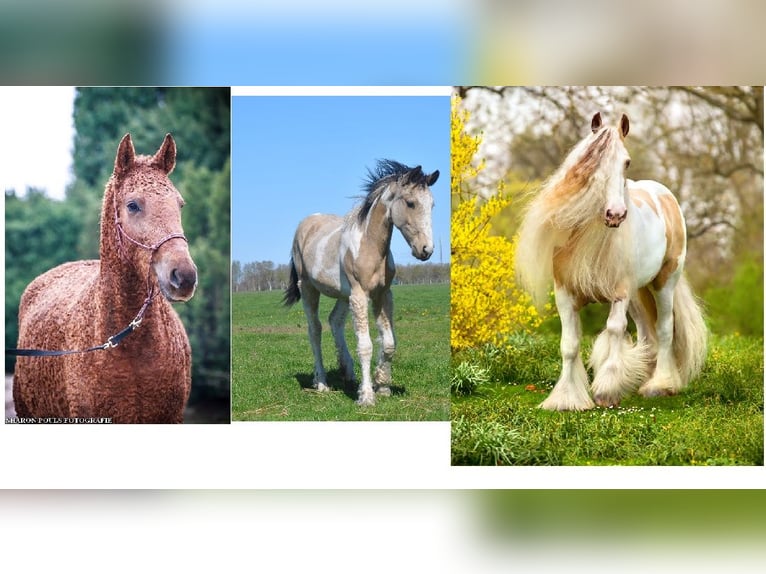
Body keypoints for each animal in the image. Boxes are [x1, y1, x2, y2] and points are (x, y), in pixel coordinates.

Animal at [283, 159, 439, 406]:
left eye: (432, 205)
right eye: (411, 203)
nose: (426, 250)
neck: (370, 245)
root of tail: (306, 223)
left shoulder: (383, 295)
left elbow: (389, 343)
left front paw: (382, 385)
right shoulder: (359, 295)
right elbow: (365, 346)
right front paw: (366, 396)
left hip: (342, 295)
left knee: (334, 321)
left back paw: (347, 373)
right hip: (308, 288)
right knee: (315, 330)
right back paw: (321, 382)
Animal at [516, 112, 707, 411]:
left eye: (626, 162)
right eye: (593, 159)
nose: (615, 214)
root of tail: (665, 195)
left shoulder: (620, 293)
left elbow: (615, 330)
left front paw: (606, 390)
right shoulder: (565, 294)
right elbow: (569, 344)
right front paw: (566, 399)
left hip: (664, 282)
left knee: (665, 329)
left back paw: (660, 385)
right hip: (639, 294)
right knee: (646, 333)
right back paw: (643, 377)